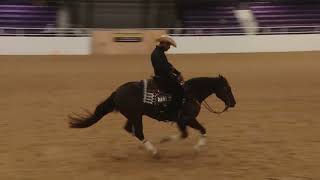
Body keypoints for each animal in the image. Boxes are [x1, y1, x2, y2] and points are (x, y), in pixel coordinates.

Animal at [69, 74, 236, 158]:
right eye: (227, 88)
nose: (233, 103)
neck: (190, 94)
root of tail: (117, 92)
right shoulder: (185, 119)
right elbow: (191, 132)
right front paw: (167, 141)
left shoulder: (184, 120)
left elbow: (197, 131)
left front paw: (196, 147)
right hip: (136, 116)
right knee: (138, 132)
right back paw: (154, 151)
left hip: (133, 116)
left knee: (129, 129)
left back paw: (145, 147)